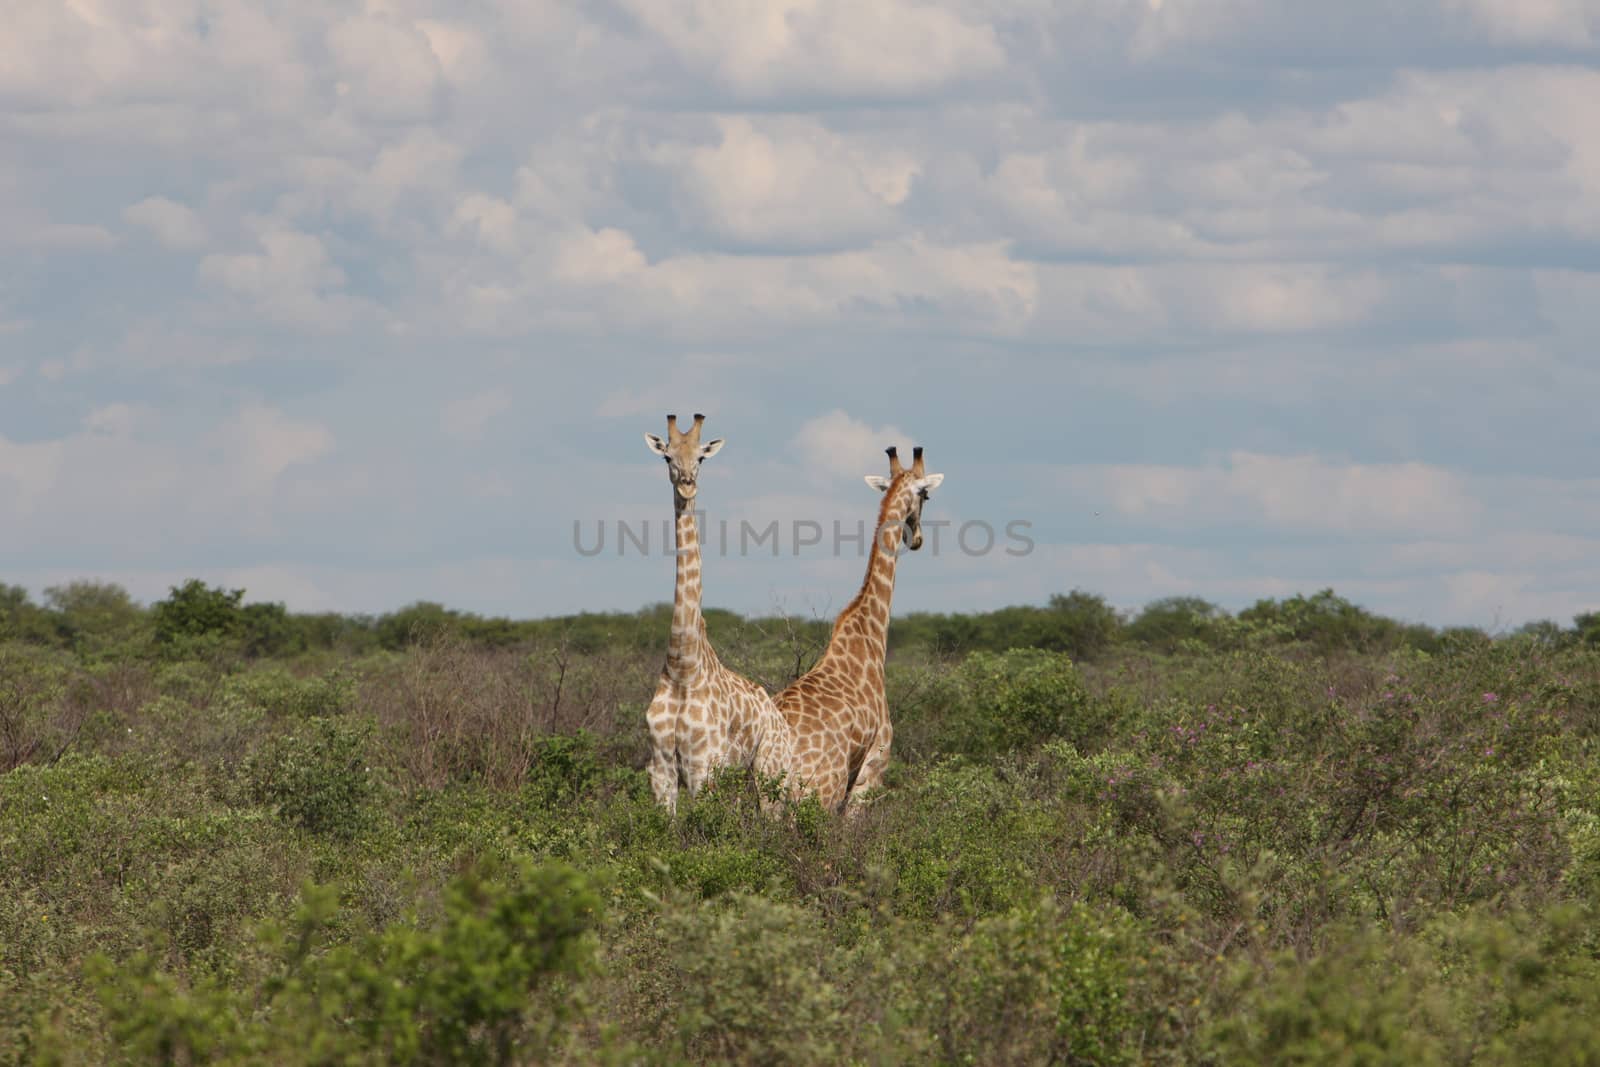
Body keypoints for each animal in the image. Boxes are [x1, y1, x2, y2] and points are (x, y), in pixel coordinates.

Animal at [640, 412, 796, 812]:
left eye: (701, 457)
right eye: (667, 457)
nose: (687, 485)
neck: (682, 667)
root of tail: (779, 719)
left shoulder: (703, 767)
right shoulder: (661, 769)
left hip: (770, 769)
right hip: (743, 778)